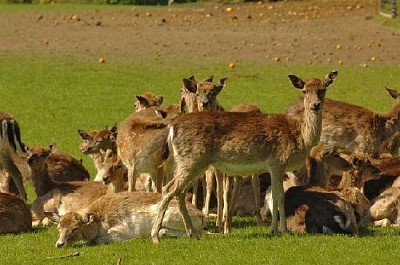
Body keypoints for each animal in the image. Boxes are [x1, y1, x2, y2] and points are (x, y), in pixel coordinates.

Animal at [45, 191, 208, 246]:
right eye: (59, 227)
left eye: (75, 228)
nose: (59, 244)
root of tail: (201, 215)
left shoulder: (122, 229)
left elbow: (101, 240)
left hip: (169, 217)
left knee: (197, 233)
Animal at [152, 69, 340, 241]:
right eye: (304, 90)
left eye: (323, 89)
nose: (315, 105)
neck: (300, 136)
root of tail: (171, 128)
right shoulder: (276, 162)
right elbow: (279, 195)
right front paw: (280, 230)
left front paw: (277, 228)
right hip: (192, 159)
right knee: (169, 189)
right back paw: (156, 236)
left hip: (188, 161)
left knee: (177, 190)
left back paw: (192, 233)